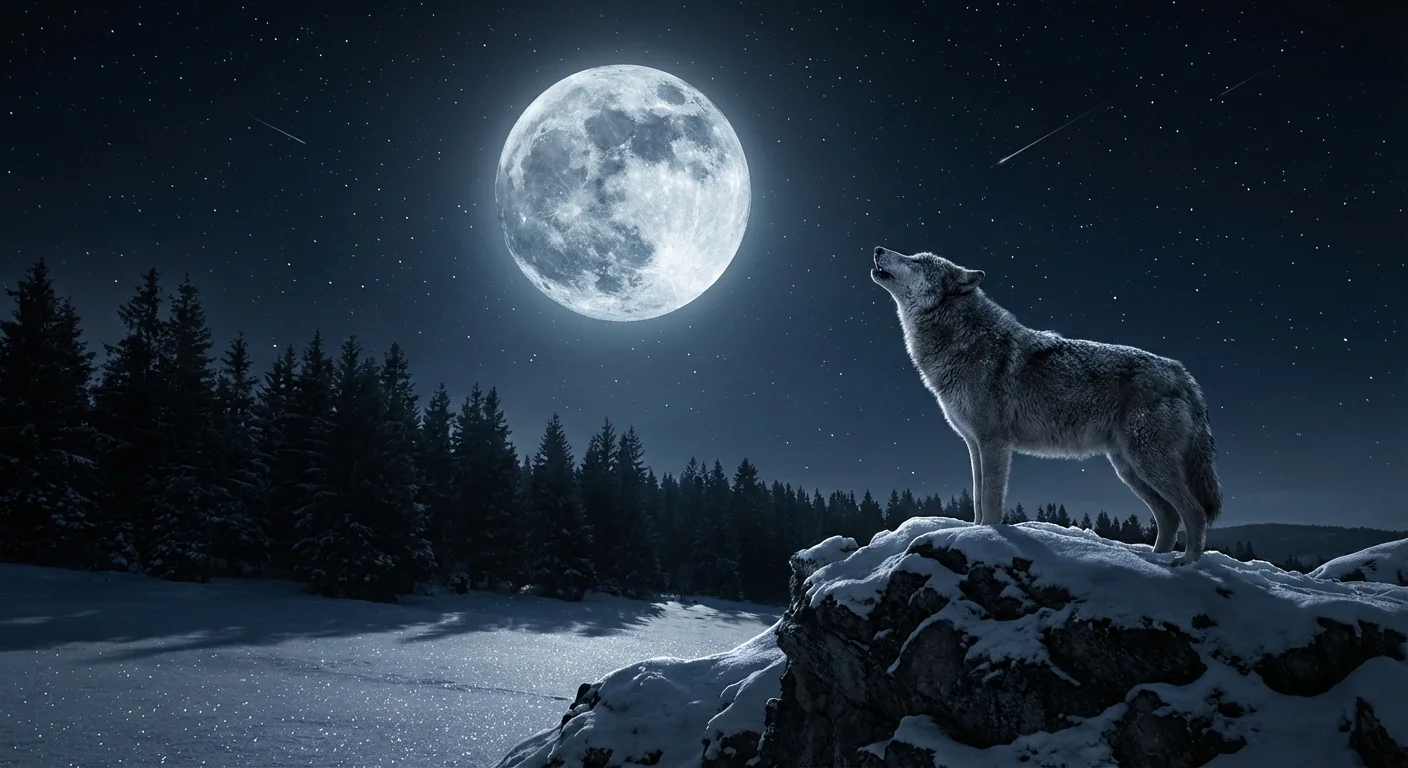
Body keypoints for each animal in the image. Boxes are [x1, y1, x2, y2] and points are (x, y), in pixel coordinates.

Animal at [870, 246, 1223, 563]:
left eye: (917, 260)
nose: (877, 249)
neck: (963, 339)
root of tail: (1184, 374)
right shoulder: (973, 444)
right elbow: (977, 499)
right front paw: (973, 531)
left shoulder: (993, 442)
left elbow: (991, 500)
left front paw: (988, 537)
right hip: (1130, 469)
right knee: (1169, 516)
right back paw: (1154, 562)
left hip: (1147, 463)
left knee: (1194, 512)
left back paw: (1187, 564)